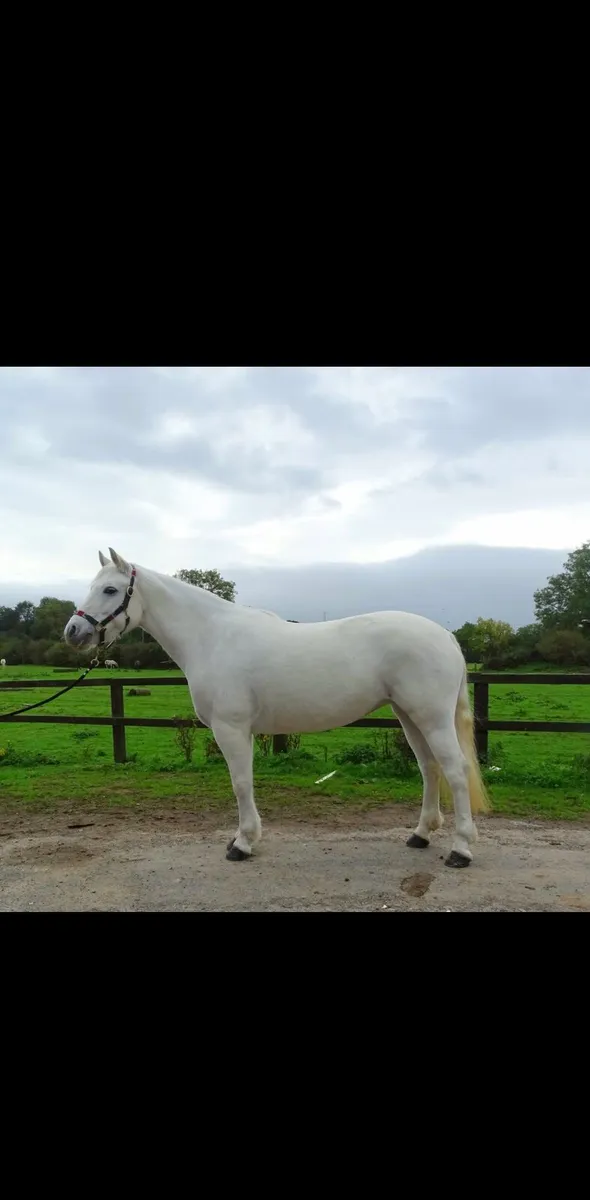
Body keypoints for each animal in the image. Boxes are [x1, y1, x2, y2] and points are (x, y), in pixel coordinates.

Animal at [64, 548, 489, 868]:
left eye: (111, 589)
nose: (73, 631)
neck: (211, 636)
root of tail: (445, 636)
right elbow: (246, 781)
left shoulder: (231, 728)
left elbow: (240, 783)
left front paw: (242, 843)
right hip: (409, 716)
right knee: (429, 768)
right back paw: (420, 835)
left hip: (431, 718)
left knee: (455, 771)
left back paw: (461, 849)